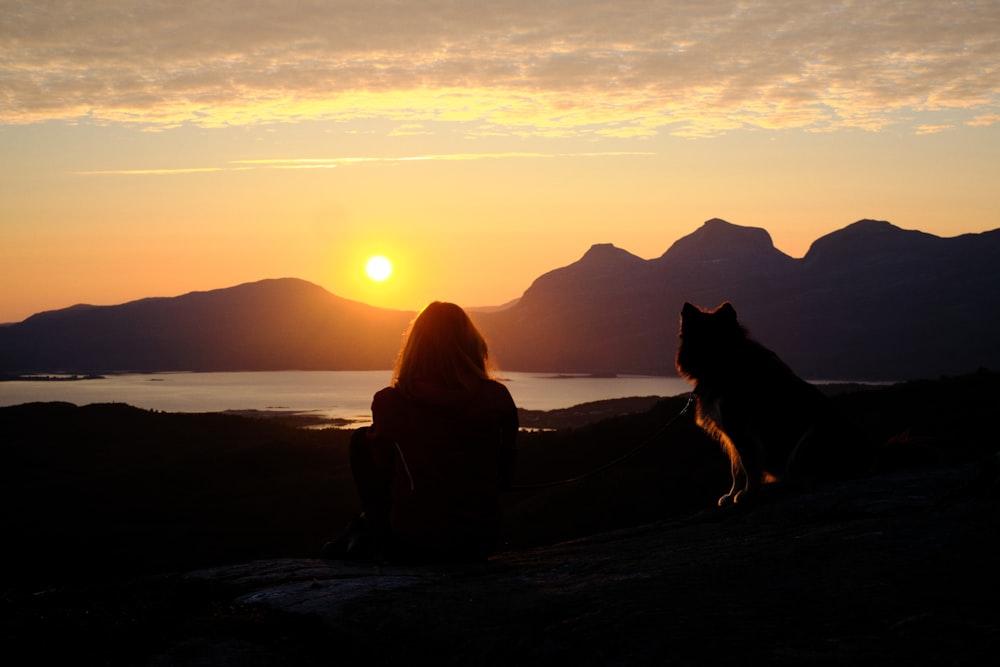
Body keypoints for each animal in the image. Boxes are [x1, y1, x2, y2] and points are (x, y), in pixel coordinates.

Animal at [676, 302, 872, 506]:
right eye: (700, 338)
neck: (724, 367)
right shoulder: (731, 434)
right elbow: (736, 468)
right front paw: (731, 494)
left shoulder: (740, 429)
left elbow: (748, 466)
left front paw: (748, 493)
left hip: (812, 435)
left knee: (808, 478)